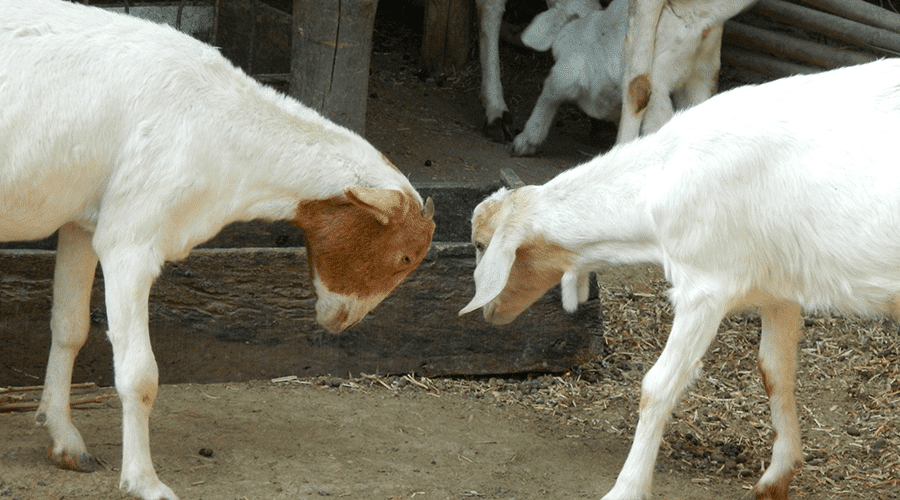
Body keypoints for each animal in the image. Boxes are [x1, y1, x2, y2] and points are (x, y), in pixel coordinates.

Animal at [0, 0, 436, 500]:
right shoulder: (131, 237)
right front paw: (144, 481)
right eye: (404, 257)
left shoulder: (84, 221)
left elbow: (69, 329)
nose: (343, 319)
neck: (219, 122)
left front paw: (65, 441)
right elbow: (139, 373)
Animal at [460, 59, 900, 500]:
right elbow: (775, 372)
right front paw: (777, 476)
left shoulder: (704, 288)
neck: (660, 179)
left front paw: (626, 488)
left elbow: (658, 386)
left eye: (481, 244)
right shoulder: (778, 287)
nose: (489, 312)